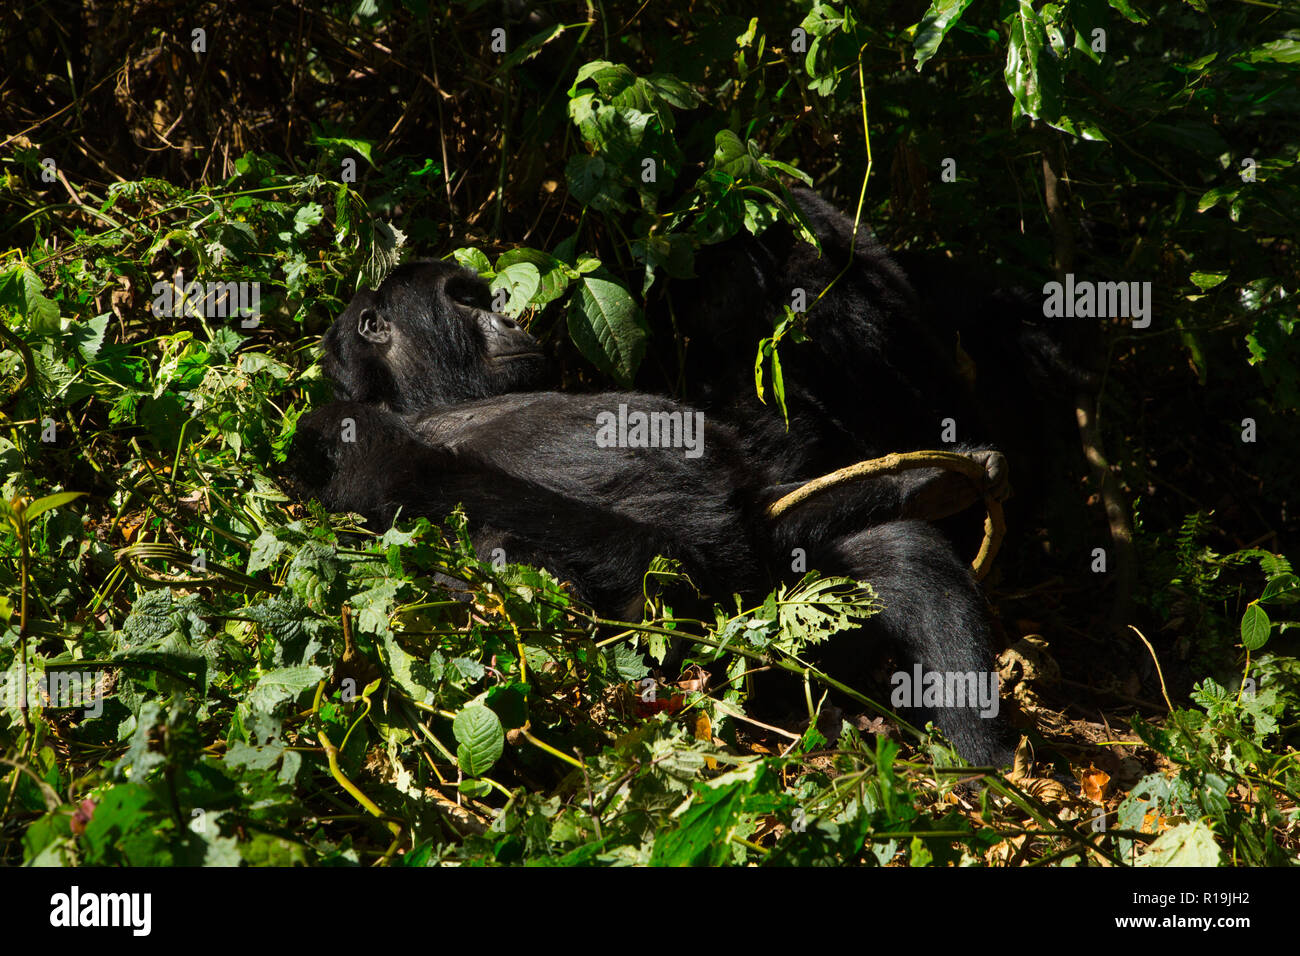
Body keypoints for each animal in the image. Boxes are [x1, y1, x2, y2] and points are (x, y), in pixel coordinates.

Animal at [295, 257, 1013, 764]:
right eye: (463, 301)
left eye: (485, 298)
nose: (511, 319)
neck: (429, 399)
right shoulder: (343, 428)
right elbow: (412, 483)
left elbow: (767, 496)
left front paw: (923, 480)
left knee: (904, 561)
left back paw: (986, 768)